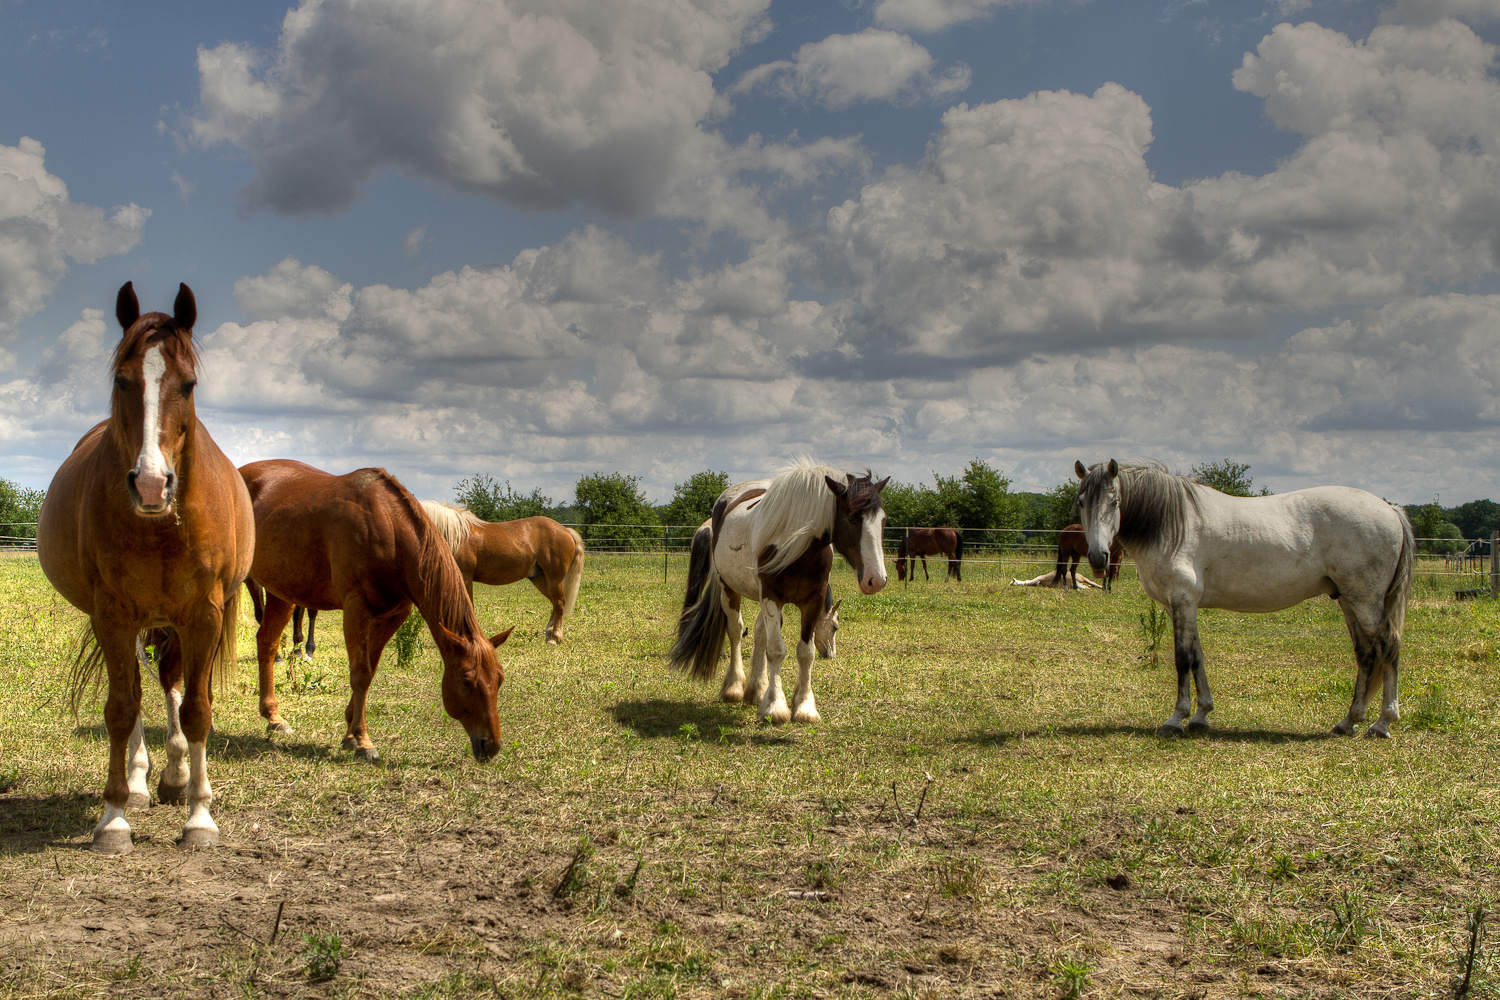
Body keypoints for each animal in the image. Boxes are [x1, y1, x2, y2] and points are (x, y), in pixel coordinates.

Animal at [36, 284, 253, 857]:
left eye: (189, 383)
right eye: (122, 380)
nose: (152, 484)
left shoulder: (202, 615)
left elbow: (197, 709)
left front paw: (200, 816)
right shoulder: (112, 614)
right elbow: (120, 708)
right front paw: (113, 818)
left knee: (172, 685)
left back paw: (177, 777)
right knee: (134, 694)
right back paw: (137, 783)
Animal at [240, 458, 510, 758]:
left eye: (499, 679)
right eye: (465, 681)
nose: (492, 745)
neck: (389, 528)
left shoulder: (394, 614)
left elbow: (370, 671)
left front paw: (350, 733)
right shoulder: (356, 608)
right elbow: (360, 673)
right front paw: (363, 741)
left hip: (282, 592)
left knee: (267, 643)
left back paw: (273, 717)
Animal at [426, 503, 588, 644]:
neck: (457, 536)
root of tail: (566, 530)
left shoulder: (465, 577)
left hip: (554, 578)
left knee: (560, 602)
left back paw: (555, 637)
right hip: (540, 578)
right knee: (555, 602)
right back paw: (549, 634)